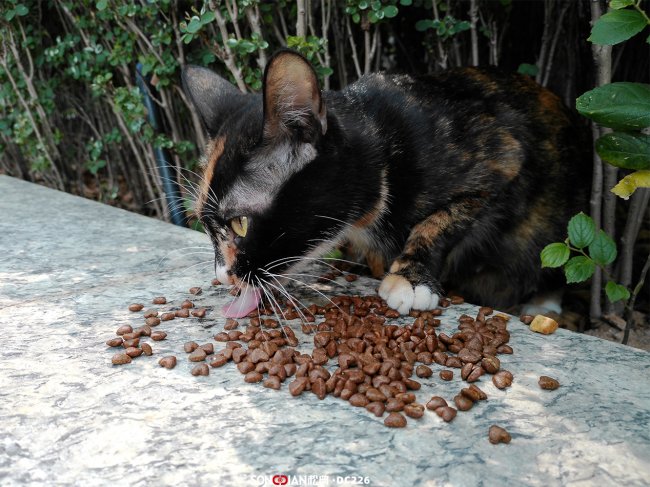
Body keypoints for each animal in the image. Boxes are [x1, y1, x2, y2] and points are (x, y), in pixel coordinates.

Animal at [182, 49, 590, 317]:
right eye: (207, 227)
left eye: (241, 223)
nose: (223, 276)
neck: (382, 158)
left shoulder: (502, 157)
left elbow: (440, 221)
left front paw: (409, 279)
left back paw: (544, 304)